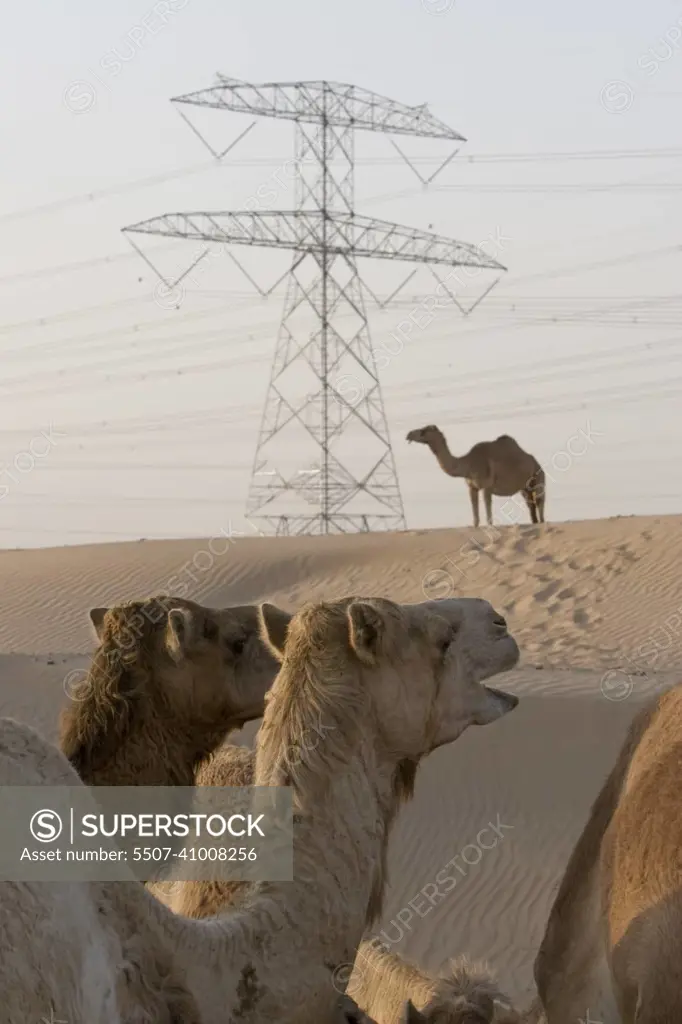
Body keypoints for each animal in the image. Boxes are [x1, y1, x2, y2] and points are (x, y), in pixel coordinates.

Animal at [405, 423, 544, 528]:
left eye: (423, 430)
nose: (408, 434)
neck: (468, 464)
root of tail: (535, 461)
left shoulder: (486, 487)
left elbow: (489, 518)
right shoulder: (472, 488)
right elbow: (475, 519)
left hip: (538, 477)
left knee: (539, 501)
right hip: (524, 488)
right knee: (530, 504)